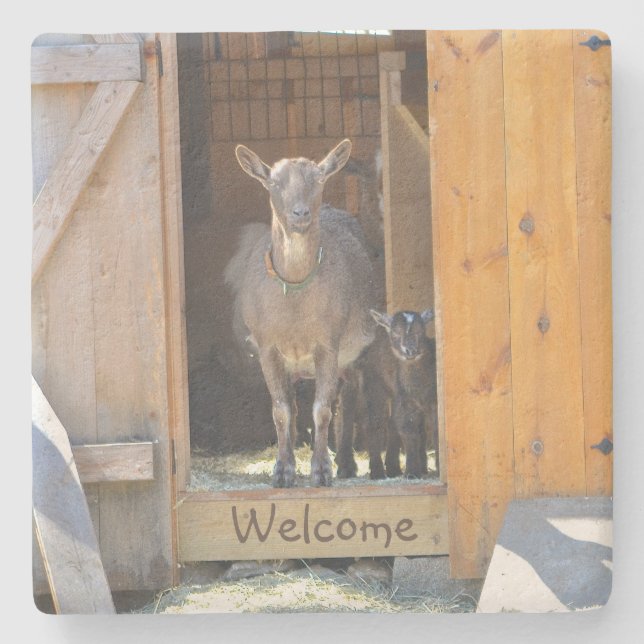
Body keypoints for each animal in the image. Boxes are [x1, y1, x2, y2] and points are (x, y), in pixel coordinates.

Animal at [224, 140, 377, 487]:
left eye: (318, 179)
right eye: (274, 182)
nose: (300, 213)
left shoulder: (328, 341)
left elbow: (322, 409)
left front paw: (321, 471)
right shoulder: (266, 345)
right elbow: (281, 409)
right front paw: (283, 470)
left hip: (356, 353)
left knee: (349, 399)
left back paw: (346, 463)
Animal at [362, 309, 438, 479]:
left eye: (421, 331)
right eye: (396, 333)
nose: (410, 350)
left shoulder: (434, 401)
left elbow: (437, 430)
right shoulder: (405, 400)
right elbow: (407, 430)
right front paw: (411, 472)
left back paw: (395, 468)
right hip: (374, 382)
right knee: (375, 421)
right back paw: (378, 471)